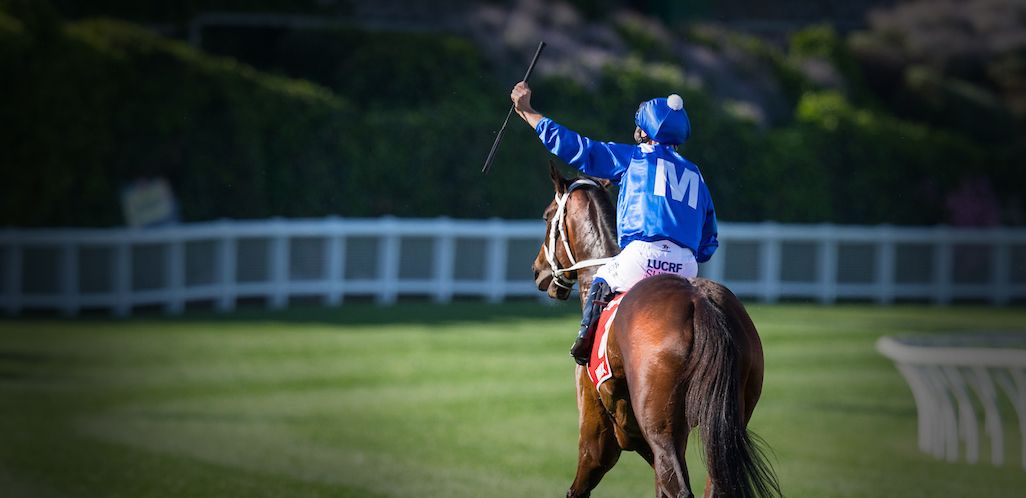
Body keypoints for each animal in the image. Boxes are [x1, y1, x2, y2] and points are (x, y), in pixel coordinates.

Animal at [532, 162, 781, 498]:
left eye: (547, 216)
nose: (538, 270)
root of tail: (699, 301)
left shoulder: (599, 434)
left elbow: (581, 483)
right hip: (727, 425)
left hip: (661, 429)